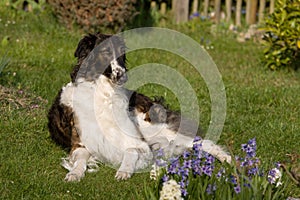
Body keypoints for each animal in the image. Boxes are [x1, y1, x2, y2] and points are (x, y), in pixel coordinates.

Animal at [47, 32, 232, 181]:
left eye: (122, 53)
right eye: (105, 52)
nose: (123, 75)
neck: (105, 95)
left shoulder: (137, 141)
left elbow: (131, 151)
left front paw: (124, 170)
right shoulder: (80, 144)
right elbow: (79, 160)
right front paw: (74, 174)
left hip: (149, 126)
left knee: (200, 142)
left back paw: (226, 158)